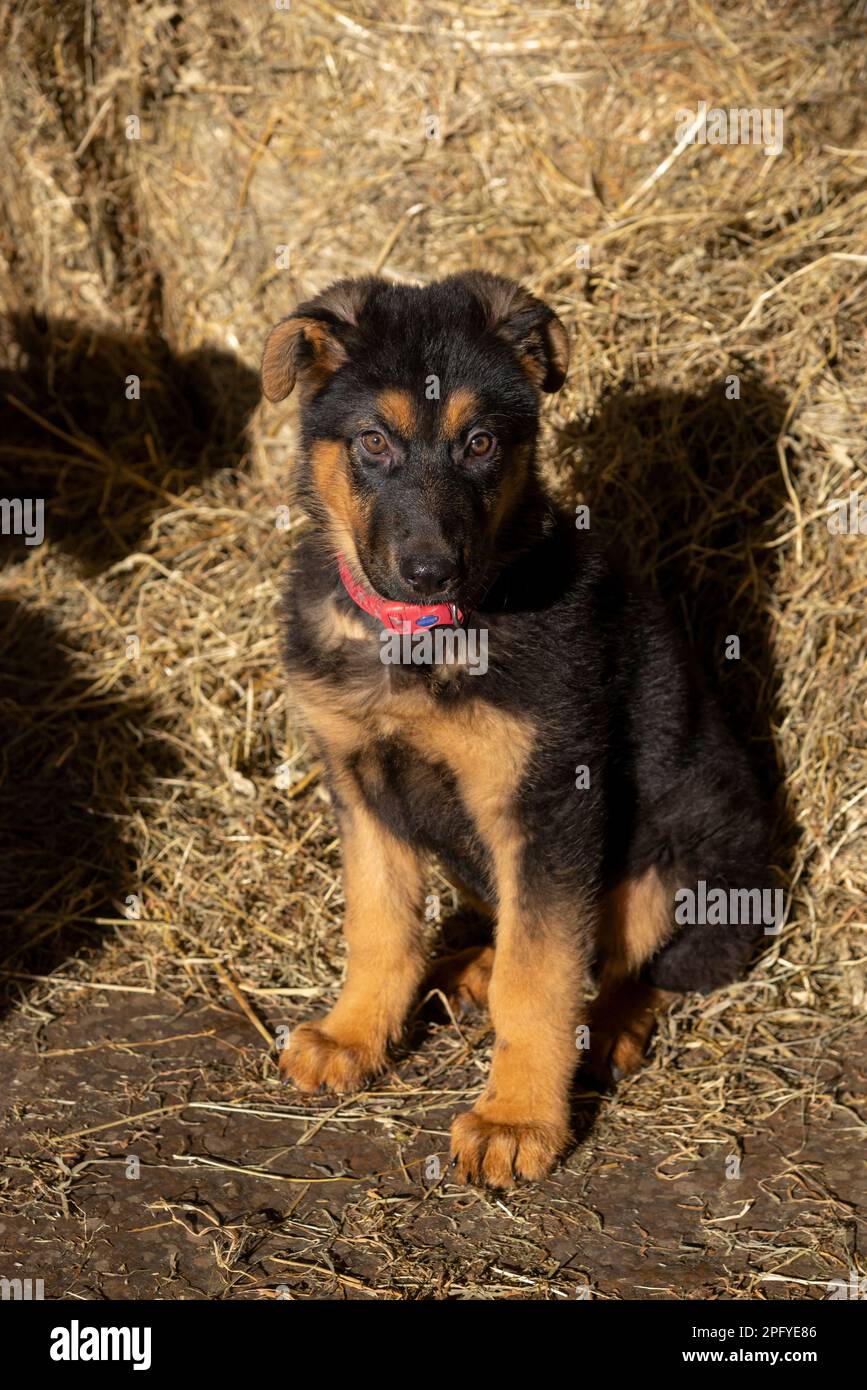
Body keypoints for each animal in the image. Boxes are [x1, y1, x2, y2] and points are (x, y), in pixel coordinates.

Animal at [258, 271, 772, 1184]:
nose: (431, 572)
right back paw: (473, 966)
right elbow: (378, 925)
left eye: (481, 444)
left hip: (676, 859)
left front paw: (516, 1120)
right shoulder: (360, 782)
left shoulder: (549, 801)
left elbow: (538, 981)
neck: (421, 640)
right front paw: (354, 1037)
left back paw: (605, 1030)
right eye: (372, 442)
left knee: (647, 964)